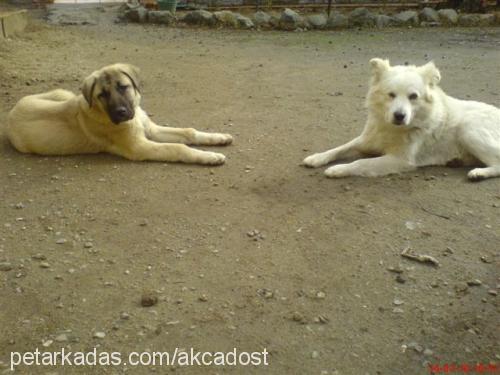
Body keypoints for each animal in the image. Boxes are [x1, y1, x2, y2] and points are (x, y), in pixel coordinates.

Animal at [300, 58, 500, 181]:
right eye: (391, 95)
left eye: (413, 96)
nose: (399, 115)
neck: (391, 128)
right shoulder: (366, 140)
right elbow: (340, 148)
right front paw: (317, 158)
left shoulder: (399, 160)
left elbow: (361, 162)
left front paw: (339, 169)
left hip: (469, 130)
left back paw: (479, 173)